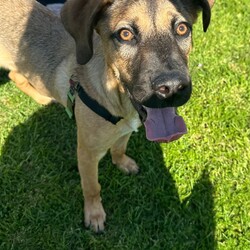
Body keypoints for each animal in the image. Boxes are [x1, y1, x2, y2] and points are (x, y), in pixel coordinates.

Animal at [0, 0, 215, 231]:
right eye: (125, 34)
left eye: (182, 28)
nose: (172, 88)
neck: (119, 101)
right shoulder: (86, 153)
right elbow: (92, 187)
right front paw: (94, 215)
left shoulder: (125, 130)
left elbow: (119, 148)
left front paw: (123, 164)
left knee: (16, 74)